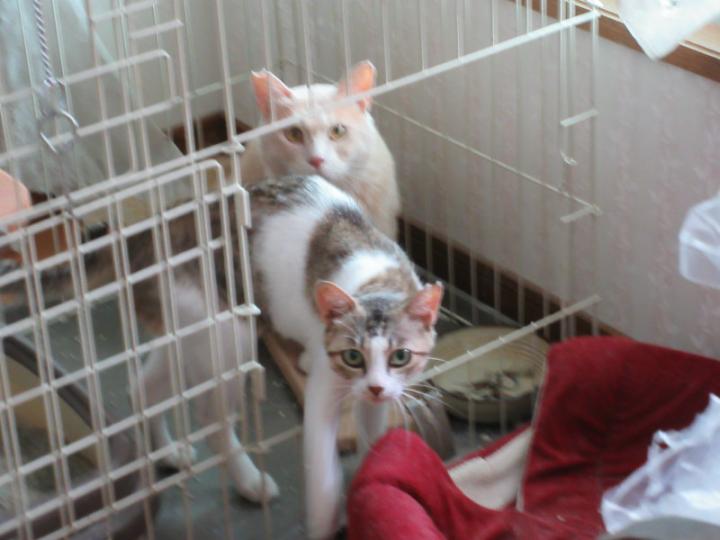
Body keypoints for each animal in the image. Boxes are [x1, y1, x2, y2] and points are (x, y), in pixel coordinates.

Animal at [249, 175, 442, 538]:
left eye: (401, 357)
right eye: (353, 356)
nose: (375, 388)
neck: (379, 283)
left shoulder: (380, 397)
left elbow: (374, 434)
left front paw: (374, 474)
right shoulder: (325, 388)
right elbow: (323, 471)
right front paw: (324, 522)